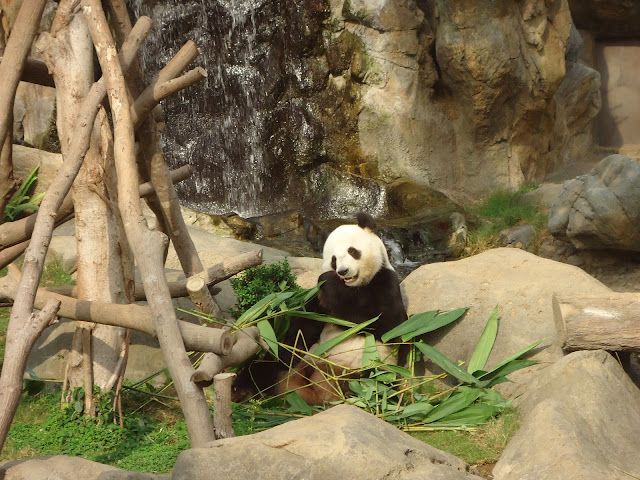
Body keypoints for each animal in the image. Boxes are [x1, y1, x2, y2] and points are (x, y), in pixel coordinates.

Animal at [232, 214, 408, 404]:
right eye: (334, 260)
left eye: (353, 251)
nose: (343, 271)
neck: (353, 288)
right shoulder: (317, 303)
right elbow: (301, 330)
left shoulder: (385, 282)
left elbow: (387, 325)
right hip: (304, 361)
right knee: (266, 365)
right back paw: (241, 390)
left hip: (370, 370)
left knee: (369, 385)